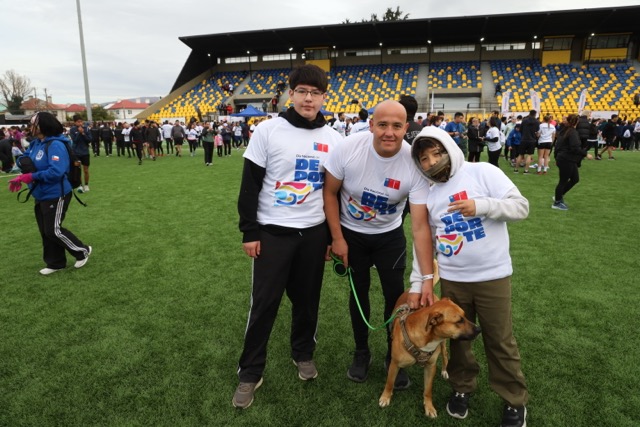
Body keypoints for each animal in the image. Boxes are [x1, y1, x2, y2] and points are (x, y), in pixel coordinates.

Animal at [378, 265, 481, 418]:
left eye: (465, 316)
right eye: (459, 321)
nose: (479, 329)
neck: (425, 340)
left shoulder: (430, 367)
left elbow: (428, 390)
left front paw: (429, 407)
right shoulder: (394, 364)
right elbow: (390, 382)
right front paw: (385, 397)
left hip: (443, 344)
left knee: (445, 354)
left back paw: (445, 370)